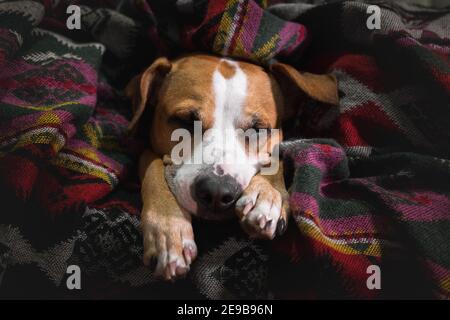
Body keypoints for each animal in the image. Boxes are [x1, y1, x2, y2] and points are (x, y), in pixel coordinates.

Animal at [125, 54, 338, 280]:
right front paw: (168, 229)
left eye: (257, 129)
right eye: (185, 120)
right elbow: (154, 165)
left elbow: (275, 158)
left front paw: (265, 195)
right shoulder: (146, 152)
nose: (217, 193)